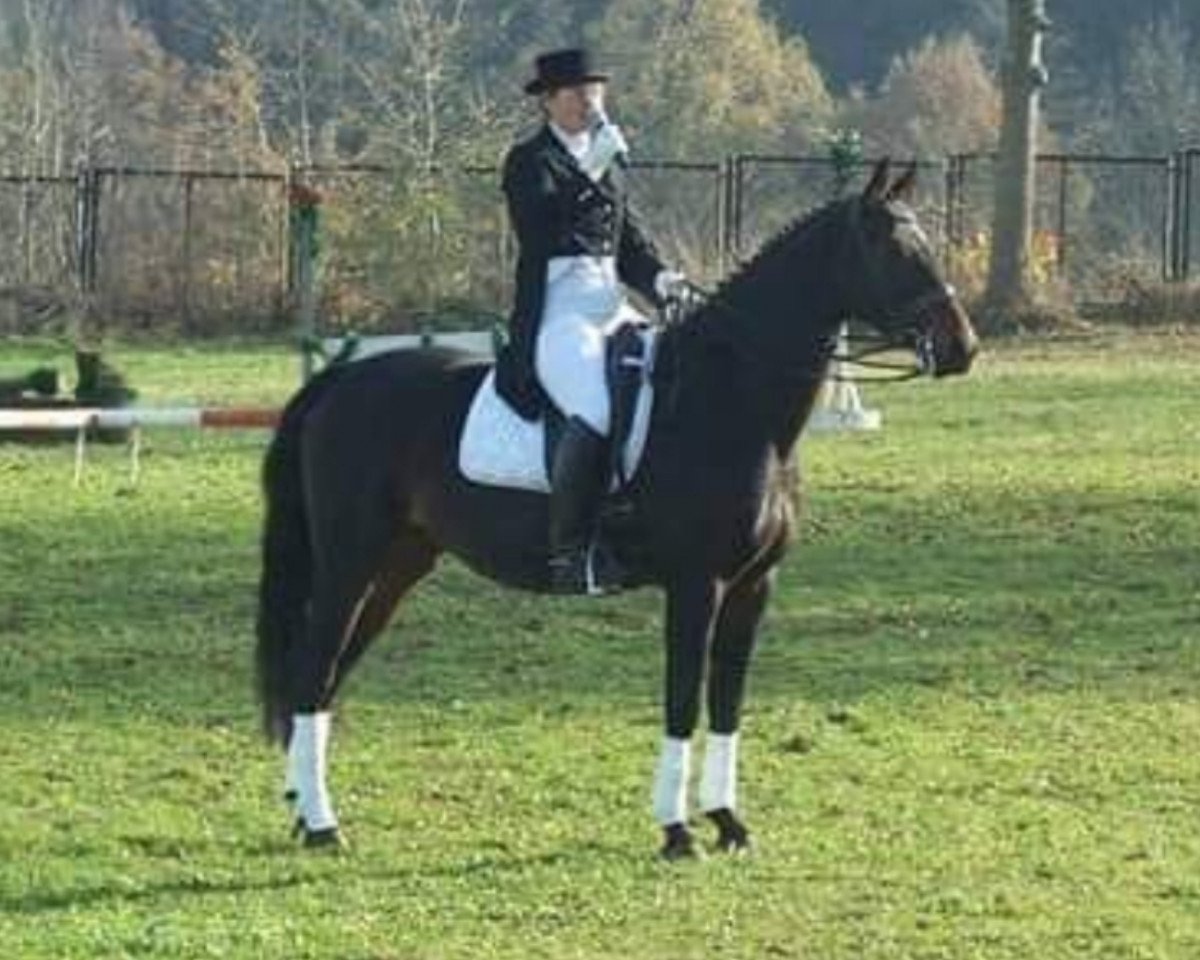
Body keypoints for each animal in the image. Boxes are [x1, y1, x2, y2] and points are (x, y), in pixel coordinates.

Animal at [254, 159, 979, 859]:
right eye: (892, 249)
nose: (962, 347)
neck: (730, 402)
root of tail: (341, 381)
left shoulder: (754, 587)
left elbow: (727, 704)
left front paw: (729, 823)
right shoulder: (697, 585)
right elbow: (683, 700)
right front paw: (677, 832)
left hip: (397, 566)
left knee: (324, 674)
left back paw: (301, 809)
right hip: (351, 561)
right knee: (313, 667)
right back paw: (322, 825)